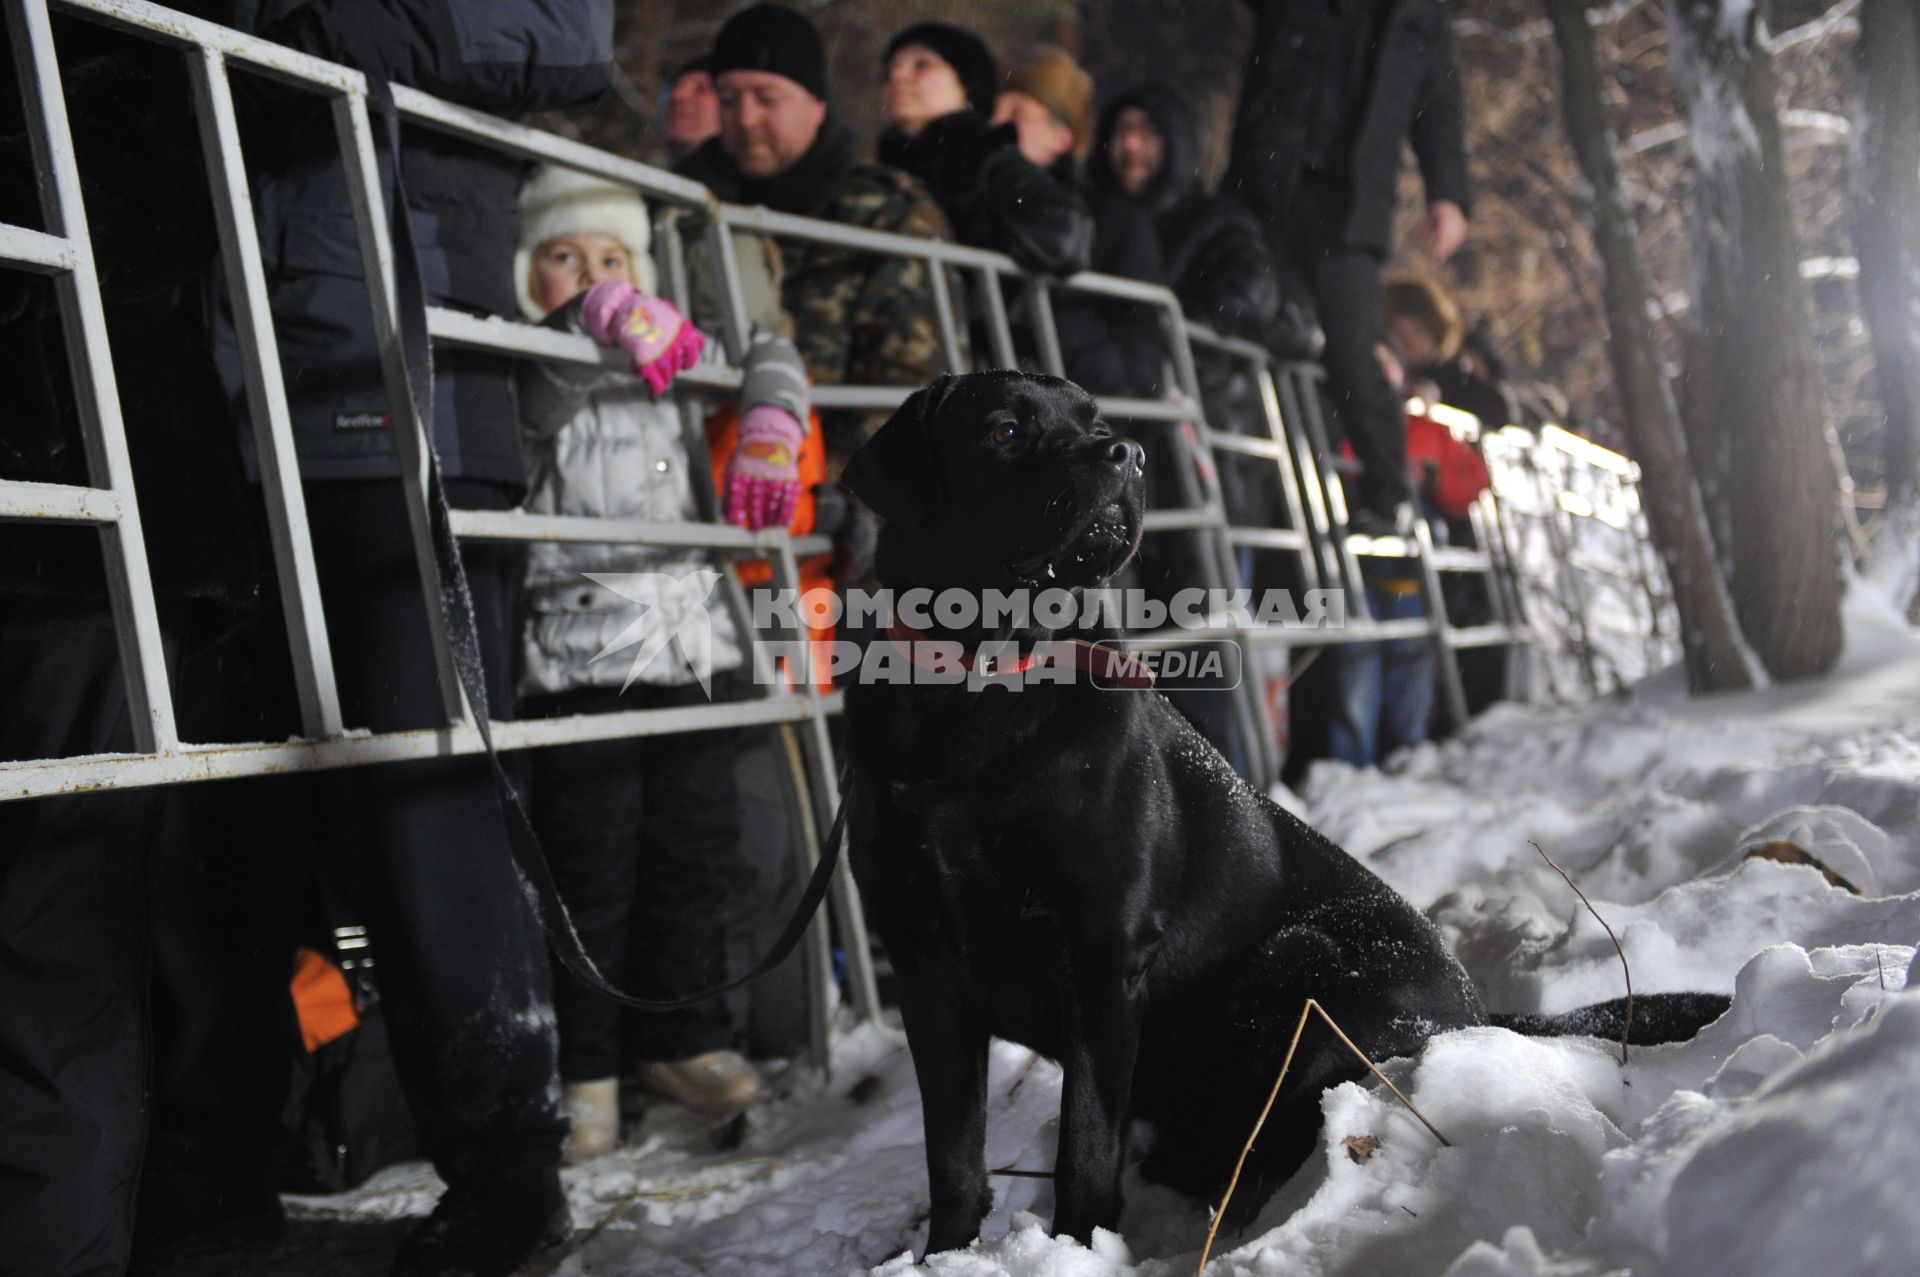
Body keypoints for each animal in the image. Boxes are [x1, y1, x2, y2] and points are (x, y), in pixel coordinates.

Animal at [840, 370, 1728, 1252]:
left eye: (1094, 417)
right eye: (1004, 430)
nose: (1125, 452)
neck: (976, 702)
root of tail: (1478, 1008)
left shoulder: (1100, 951)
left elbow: (1083, 1145)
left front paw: (1077, 1247)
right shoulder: (923, 966)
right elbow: (953, 1155)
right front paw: (946, 1252)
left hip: (1307, 961)